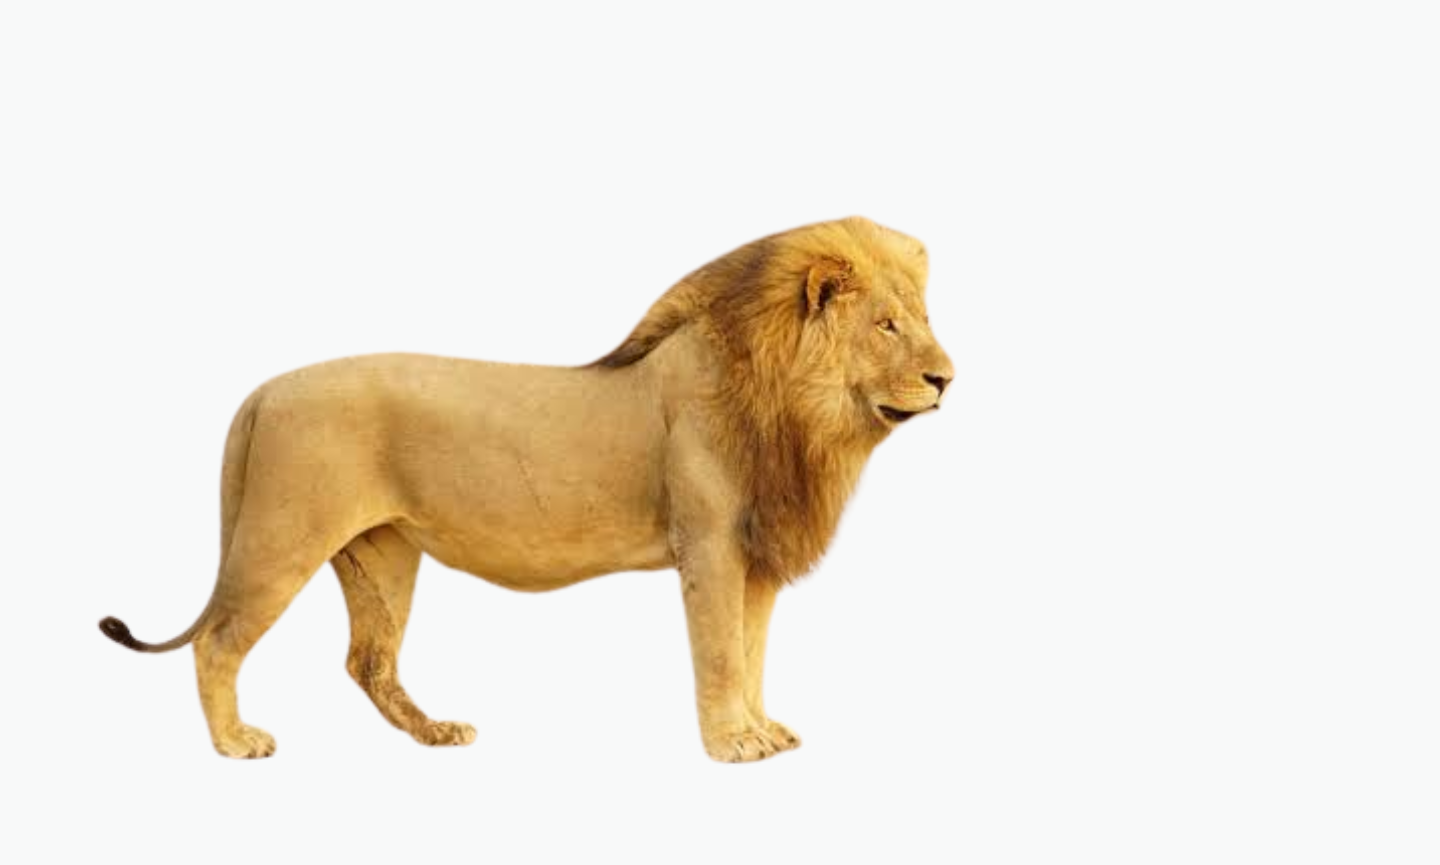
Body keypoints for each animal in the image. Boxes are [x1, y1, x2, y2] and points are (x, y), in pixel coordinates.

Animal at [99, 216, 955, 762]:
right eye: (886, 325)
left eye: (919, 316)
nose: (947, 377)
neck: (798, 413)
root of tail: (261, 391)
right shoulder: (710, 546)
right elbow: (719, 653)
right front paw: (732, 743)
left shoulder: (754, 555)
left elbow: (751, 650)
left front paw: (763, 728)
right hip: (282, 535)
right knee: (217, 640)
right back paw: (234, 742)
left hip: (382, 555)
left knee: (367, 660)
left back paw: (435, 733)